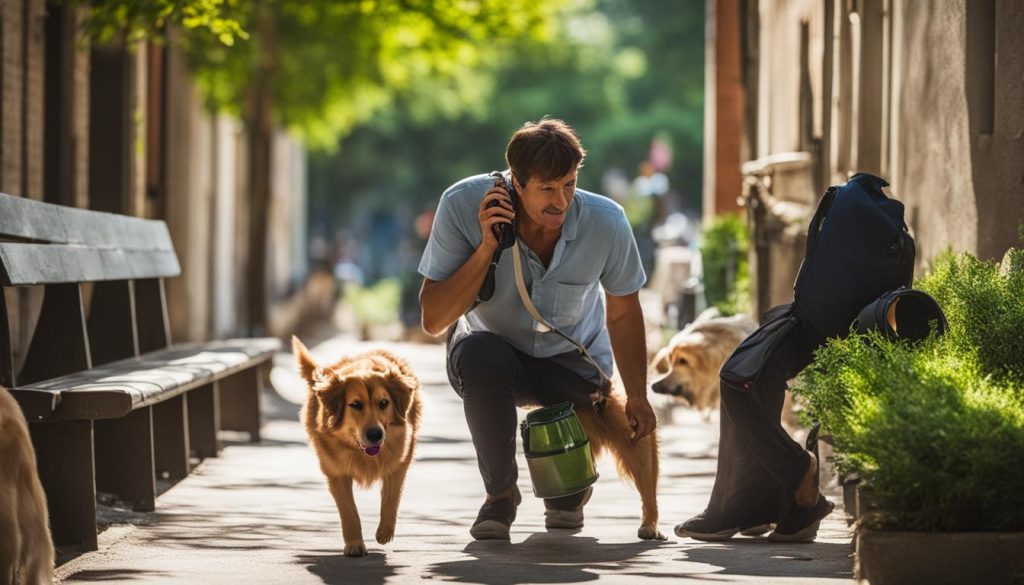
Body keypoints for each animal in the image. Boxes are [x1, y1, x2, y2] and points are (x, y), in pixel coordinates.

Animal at [292, 336, 419, 557]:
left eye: (384, 403)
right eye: (356, 405)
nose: (375, 435)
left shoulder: (399, 462)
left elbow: (391, 499)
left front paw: (384, 532)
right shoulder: (336, 473)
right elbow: (348, 511)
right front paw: (354, 543)